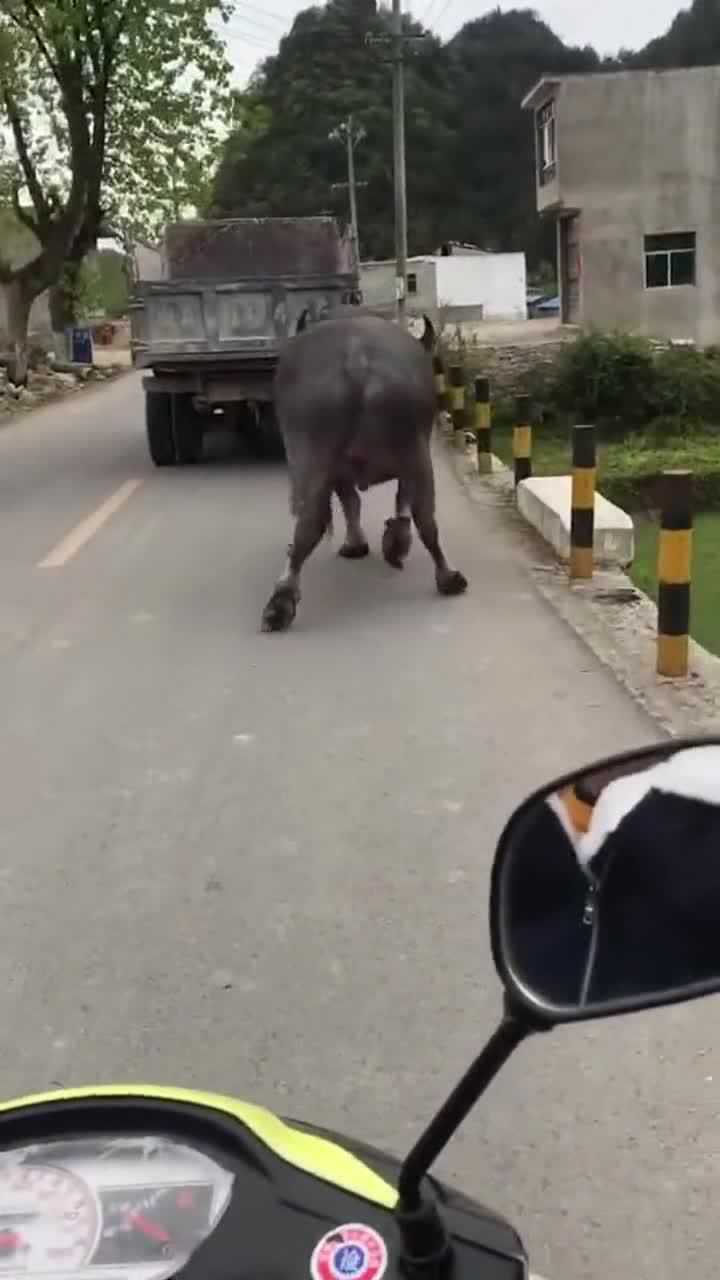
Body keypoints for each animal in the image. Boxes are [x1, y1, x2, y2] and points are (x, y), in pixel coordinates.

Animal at [260, 309, 468, 629]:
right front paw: (392, 542)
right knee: (425, 518)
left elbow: (352, 502)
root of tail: (357, 360)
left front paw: (357, 544)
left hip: (311, 457)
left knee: (309, 521)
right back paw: (448, 577)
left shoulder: (339, 472)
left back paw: (281, 600)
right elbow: (396, 503)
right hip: (416, 454)